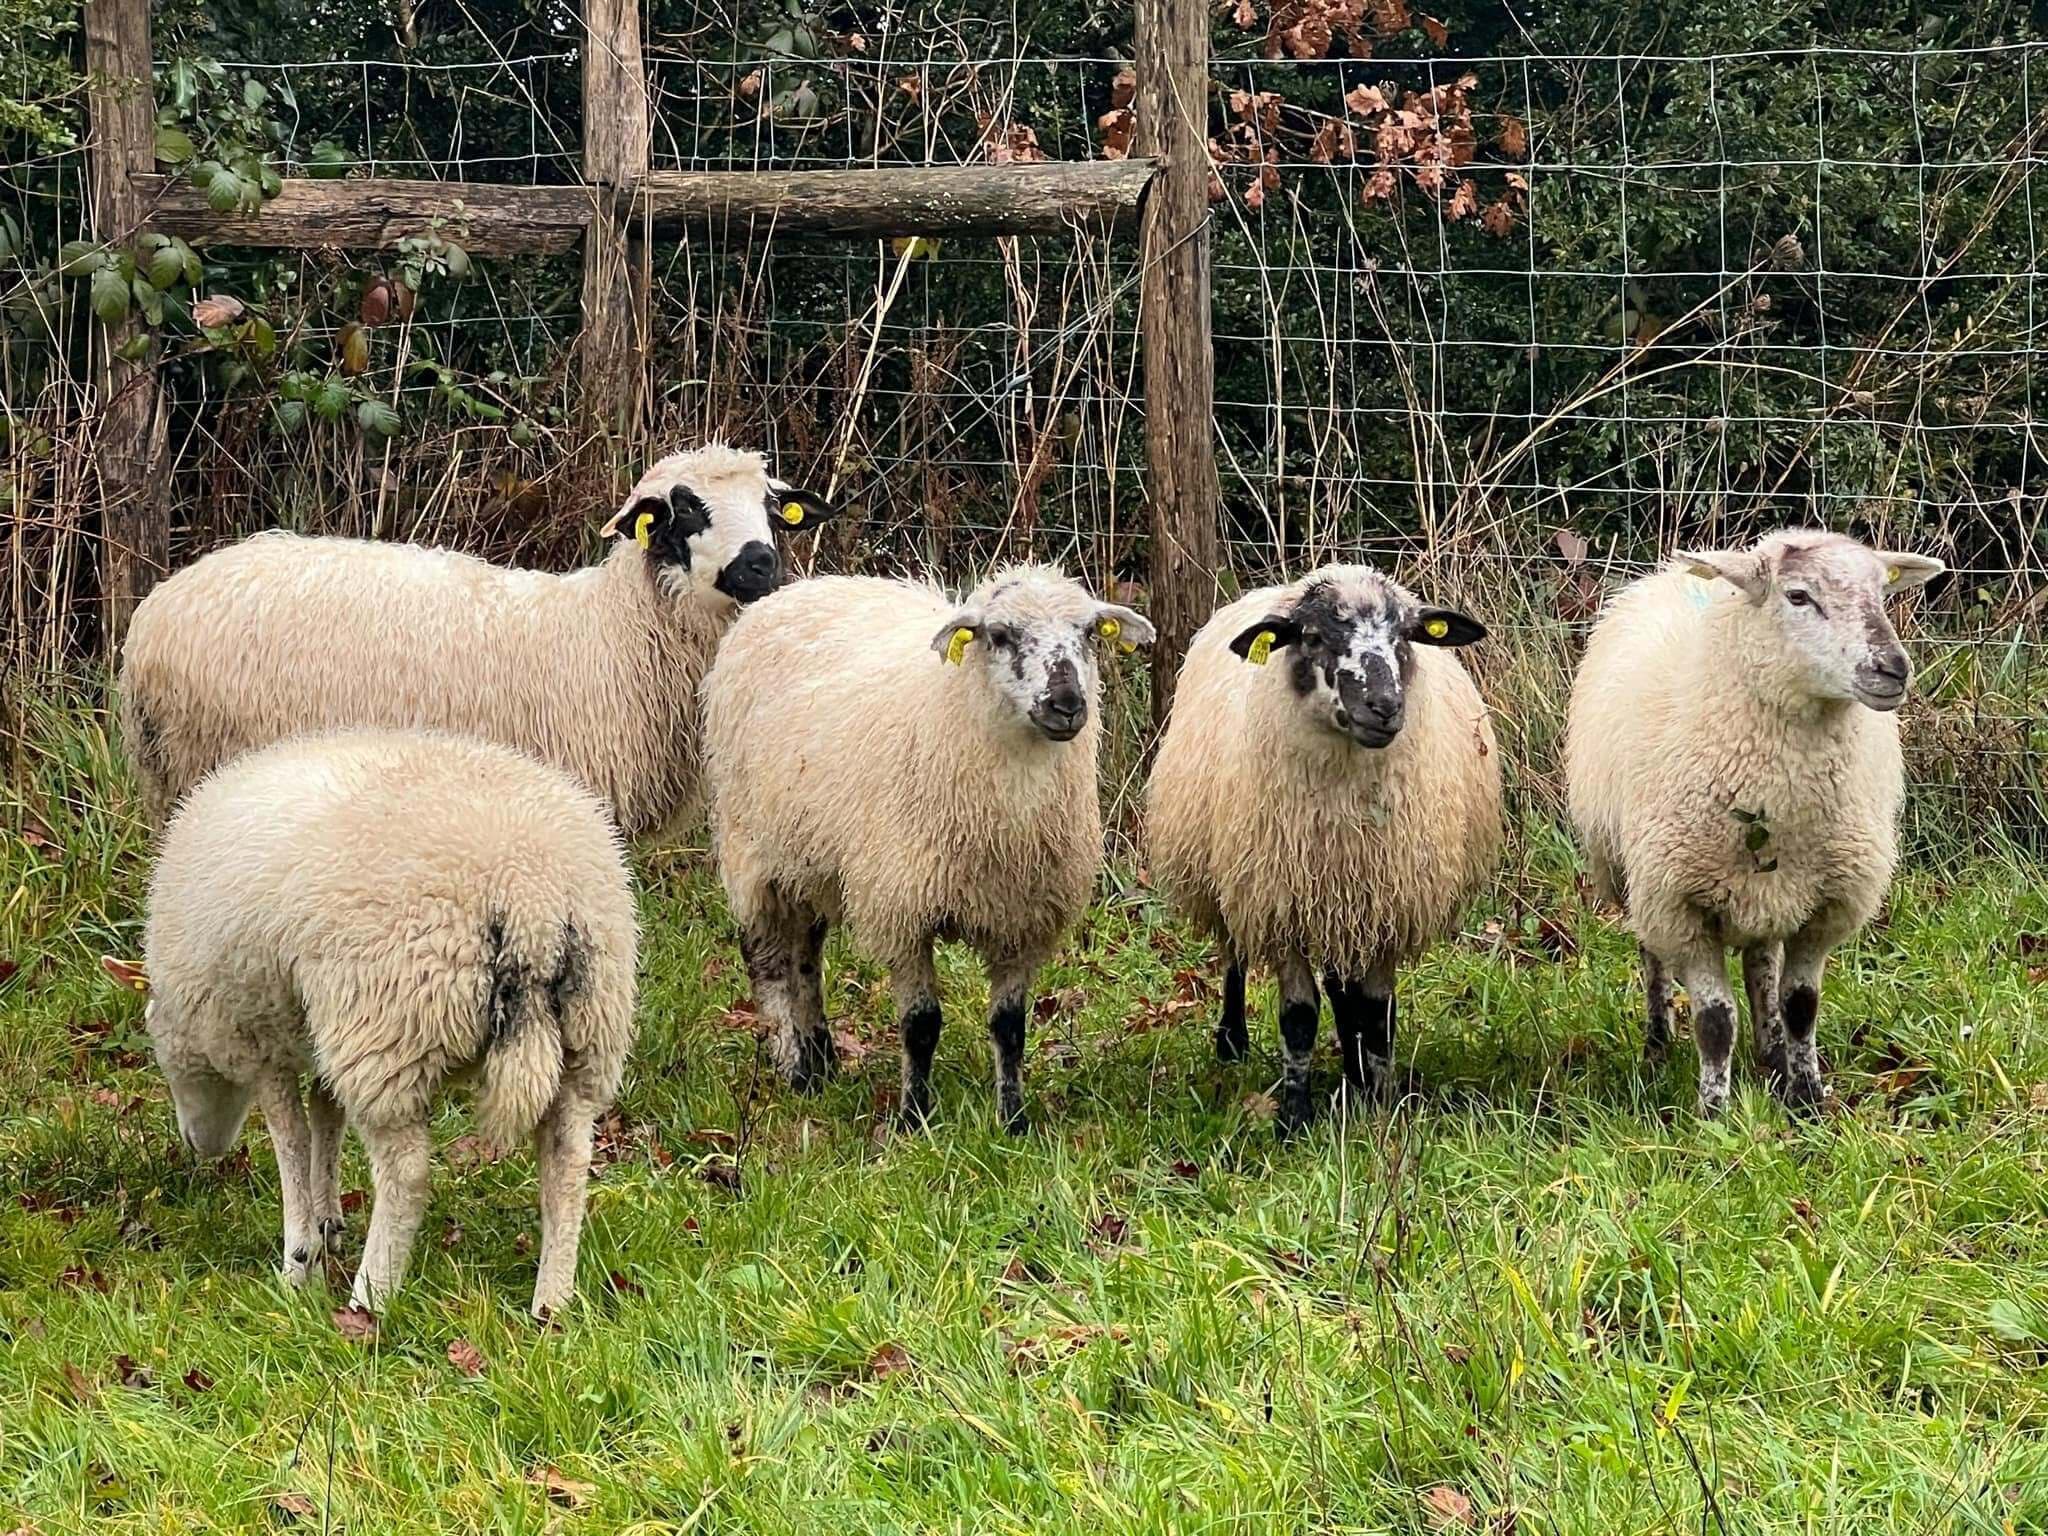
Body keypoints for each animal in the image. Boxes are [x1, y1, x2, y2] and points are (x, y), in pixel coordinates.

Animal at [143, 728, 638, 1319]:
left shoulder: (260, 1034)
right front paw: (327, 1221)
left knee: (407, 1171)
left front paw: (299, 1261)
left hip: (386, 1030)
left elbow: (291, 1141)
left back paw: (370, 1295)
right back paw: (552, 1302)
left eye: (162, 1058)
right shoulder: (315, 1025)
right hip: (591, 1030)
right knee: (567, 1156)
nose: (198, 1146)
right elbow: (324, 1115)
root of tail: (530, 898)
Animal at [702, 566, 1154, 1132]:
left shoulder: (1024, 917)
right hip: (751, 849)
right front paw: (915, 1117)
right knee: (768, 963)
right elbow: (921, 1025)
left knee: (806, 955)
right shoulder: (903, 909)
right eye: (999, 635)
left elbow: (1011, 1027)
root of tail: (797, 589)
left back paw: (822, 1060)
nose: (1067, 705)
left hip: (809, 861)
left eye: (1091, 632)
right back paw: (795, 1068)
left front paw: (1013, 1119)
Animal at [1145, 565, 1500, 1136]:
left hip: (1335, 900)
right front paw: (1293, 1119)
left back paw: (1353, 1070)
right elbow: (1299, 1016)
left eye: (1405, 636)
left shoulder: (1382, 902)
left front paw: (1380, 1102)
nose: (1384, 708)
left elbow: (1375, 1012)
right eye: (1312, 638)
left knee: (1342, 985)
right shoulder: (1281, 900)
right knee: (1235, 955)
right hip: (1233, 875)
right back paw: (1232, 1042)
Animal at [1564, 529, 1944, 1116]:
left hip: (1766, 889)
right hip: (1631, 875)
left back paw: (1771, 1052)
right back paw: (1656, 1044)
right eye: (1798, 596)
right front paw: (1713, 1113)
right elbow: (1715, 1021)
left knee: (1761, 965)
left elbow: (1801, 1004)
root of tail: (1670, 574)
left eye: (1883, 593)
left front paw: (1806, 1097)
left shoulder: (1828, 903)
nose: (1893, 669)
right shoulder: (1680, 905)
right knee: (1652, 957)